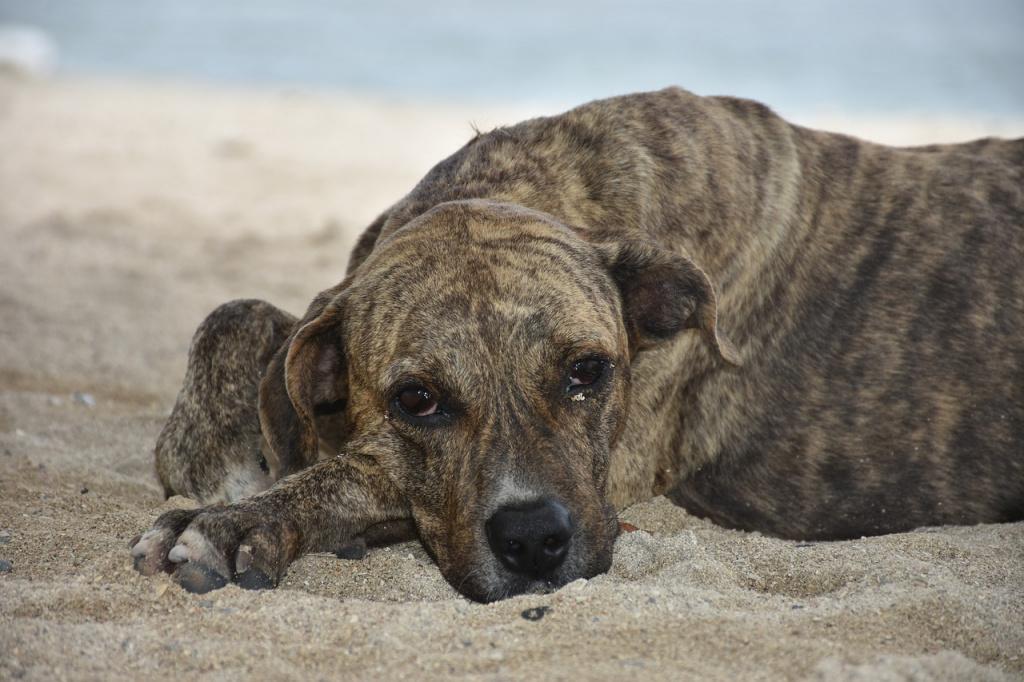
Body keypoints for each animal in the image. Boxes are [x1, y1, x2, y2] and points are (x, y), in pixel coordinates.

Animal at [130, 86, 1024, 602]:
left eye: (588, 371)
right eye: (417, 399)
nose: (534, 542)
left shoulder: (621, 463)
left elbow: (359, 471)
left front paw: (235, 519)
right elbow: (239, 313)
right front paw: (221, 456)